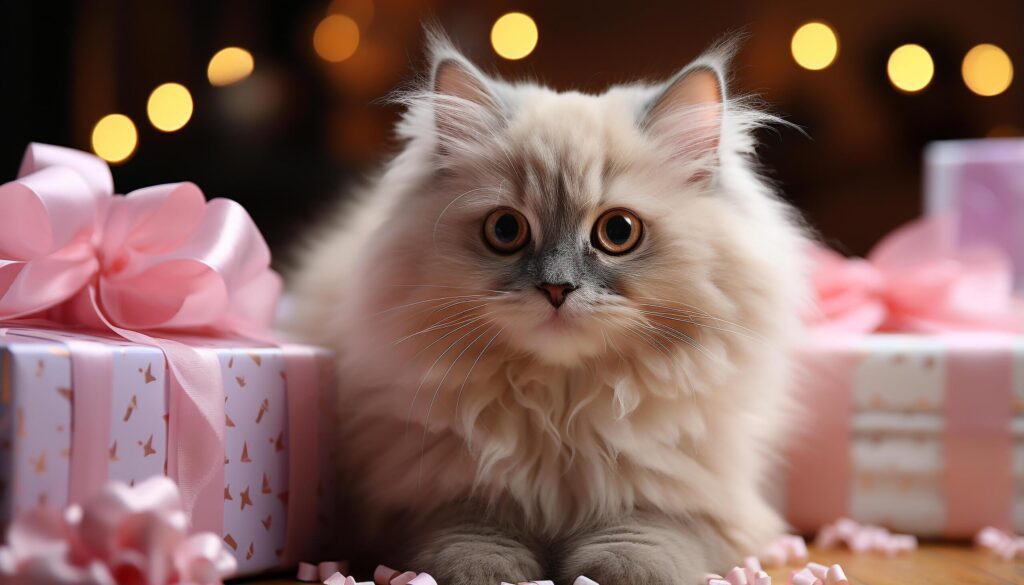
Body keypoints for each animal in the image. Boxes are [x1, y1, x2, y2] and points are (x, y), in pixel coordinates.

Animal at [288, 30, 806, 585]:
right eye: (505, 230)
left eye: (618, 231)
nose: (557, 288)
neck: (561, 409)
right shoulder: (423, 495)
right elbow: (471, 530)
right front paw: (487, 570)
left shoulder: (705, 501)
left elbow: (650, 528)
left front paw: (618, 570)